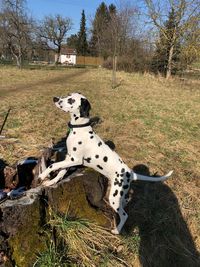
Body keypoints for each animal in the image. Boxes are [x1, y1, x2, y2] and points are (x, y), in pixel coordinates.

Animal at [38, 92, 173, 234]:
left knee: (124, 215)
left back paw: (117, 231)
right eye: (68, 95)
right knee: (125, 204)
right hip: (120, 195)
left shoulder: (74, 159)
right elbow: (61, 172)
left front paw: (42, 176)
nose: (55, 99)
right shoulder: (70, 159)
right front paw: (51, 182)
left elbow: (53, 165)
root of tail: (130, 173)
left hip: (113, 197)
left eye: (71, 100)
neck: (79, 129)